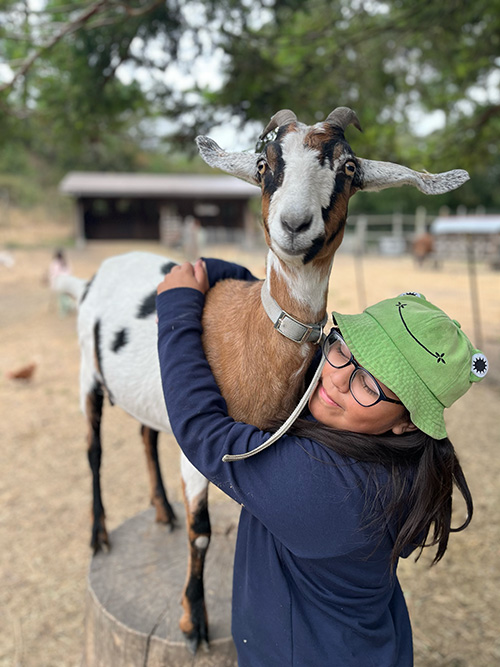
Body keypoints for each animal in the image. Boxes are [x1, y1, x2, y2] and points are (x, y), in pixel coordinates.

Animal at [58, 108, 468, 652]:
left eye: (349, 168)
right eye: (262, 163)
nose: (293, 224)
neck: (253, 326)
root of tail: (97, 275)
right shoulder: (199, 452)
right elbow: (202, 531)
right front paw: (194, 623)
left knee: (146, 434)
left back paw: (162, 511)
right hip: (87, 371)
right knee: (94, 450)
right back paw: (99, 535)